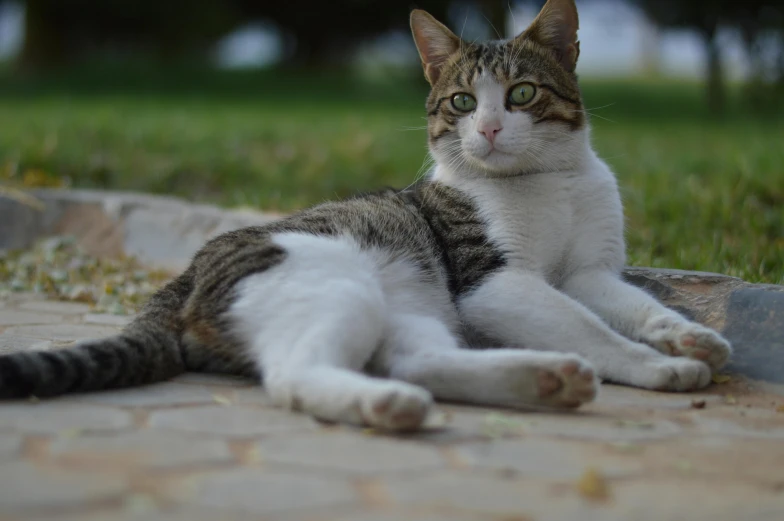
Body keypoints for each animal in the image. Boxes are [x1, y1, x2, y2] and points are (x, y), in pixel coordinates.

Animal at [0, 0, 728, 430]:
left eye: (521, 95)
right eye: (463, 103)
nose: (490, 130)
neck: (550, 182)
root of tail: (188, 270)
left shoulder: (589, 271)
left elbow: (631, 305)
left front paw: (690, 338)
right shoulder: (493, 282)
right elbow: (589, 327)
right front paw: (657, 366)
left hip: (414, 310)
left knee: (414, 360)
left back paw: (542, 380)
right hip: (338, 285)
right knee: (297, 377)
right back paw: (389, 405)